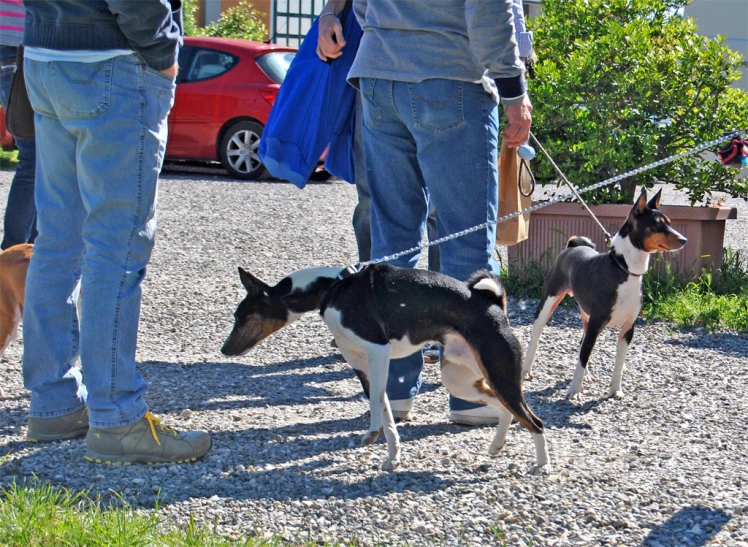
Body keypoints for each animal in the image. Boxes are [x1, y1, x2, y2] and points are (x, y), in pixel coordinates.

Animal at [222, 266, 548, 476]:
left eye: (242, 317)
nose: (224, 350)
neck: (331, 290)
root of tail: (495, 307)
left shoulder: (378, 353)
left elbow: (378, 403)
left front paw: (372, 433)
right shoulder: (364, 365)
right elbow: (386, 411)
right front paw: (393, 457)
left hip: (498, 375)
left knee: (534, 421)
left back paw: (541, 465)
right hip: (461, 381)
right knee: (505, 409)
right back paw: (497, 445)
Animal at [524, 191, 688, 400]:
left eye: (670, 223)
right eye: (659, 224)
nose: (684, 240)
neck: (624, 269)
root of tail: (572, 246)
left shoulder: (628, 328)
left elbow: (617, 364)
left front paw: (615, 390)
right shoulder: (596, 324)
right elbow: (582, 358)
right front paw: (573, 392)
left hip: (586, 314)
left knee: (582, 343)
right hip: (548, 303)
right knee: (536, 338)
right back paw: (526, 371)